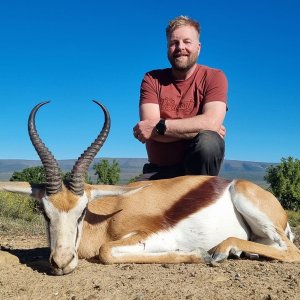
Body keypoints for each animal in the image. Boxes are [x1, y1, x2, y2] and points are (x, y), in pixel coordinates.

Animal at [0, 101, 300, 274]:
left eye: (82, 211)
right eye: (44, 212)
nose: (61, 263)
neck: (105, 219)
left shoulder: (152, 236)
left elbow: (105, 251)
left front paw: (198, 254)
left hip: (247, 201)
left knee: (291, 251)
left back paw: (221, 250)